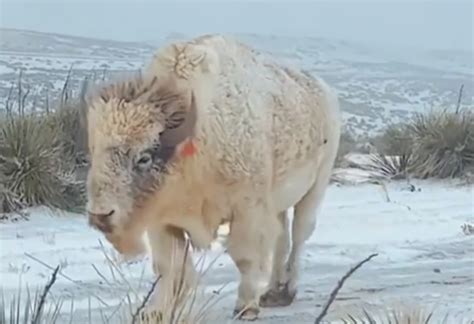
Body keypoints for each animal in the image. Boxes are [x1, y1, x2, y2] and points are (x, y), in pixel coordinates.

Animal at [84, 34, 340, 320]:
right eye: (93, 151)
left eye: (144, 157)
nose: (100, 215)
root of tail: (326, 93)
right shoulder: (162, 222)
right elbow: (170, 266)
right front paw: (157, 311)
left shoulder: (247, 210)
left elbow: (245, 256)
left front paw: (246, 307)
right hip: (279, 202)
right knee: (281, 236)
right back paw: (272, 292)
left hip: (315, 187)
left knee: (299, 236)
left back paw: (287, 291)